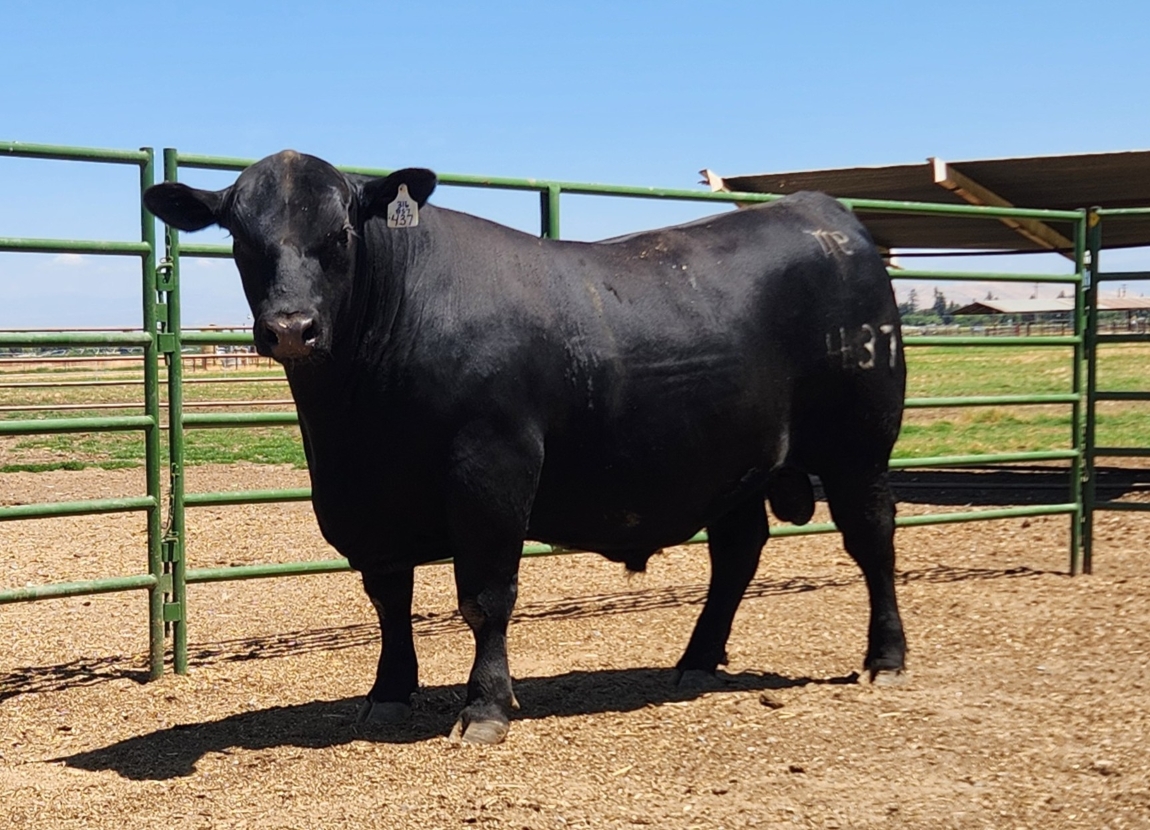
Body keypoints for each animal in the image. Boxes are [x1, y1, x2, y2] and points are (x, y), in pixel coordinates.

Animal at [143, 150, 907, 745]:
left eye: (341, 234)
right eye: (242, 238)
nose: (291, 328)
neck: (353, 423)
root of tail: (823, 213)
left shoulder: (492, 465)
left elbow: (485, 596)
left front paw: (484, 706)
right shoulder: (367, 498)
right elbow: (389, 598)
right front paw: (387, 693)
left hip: (859, 444)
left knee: (871, 539)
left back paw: (885, 658)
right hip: (732, 462)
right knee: (738, 554)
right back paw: (696, 660)